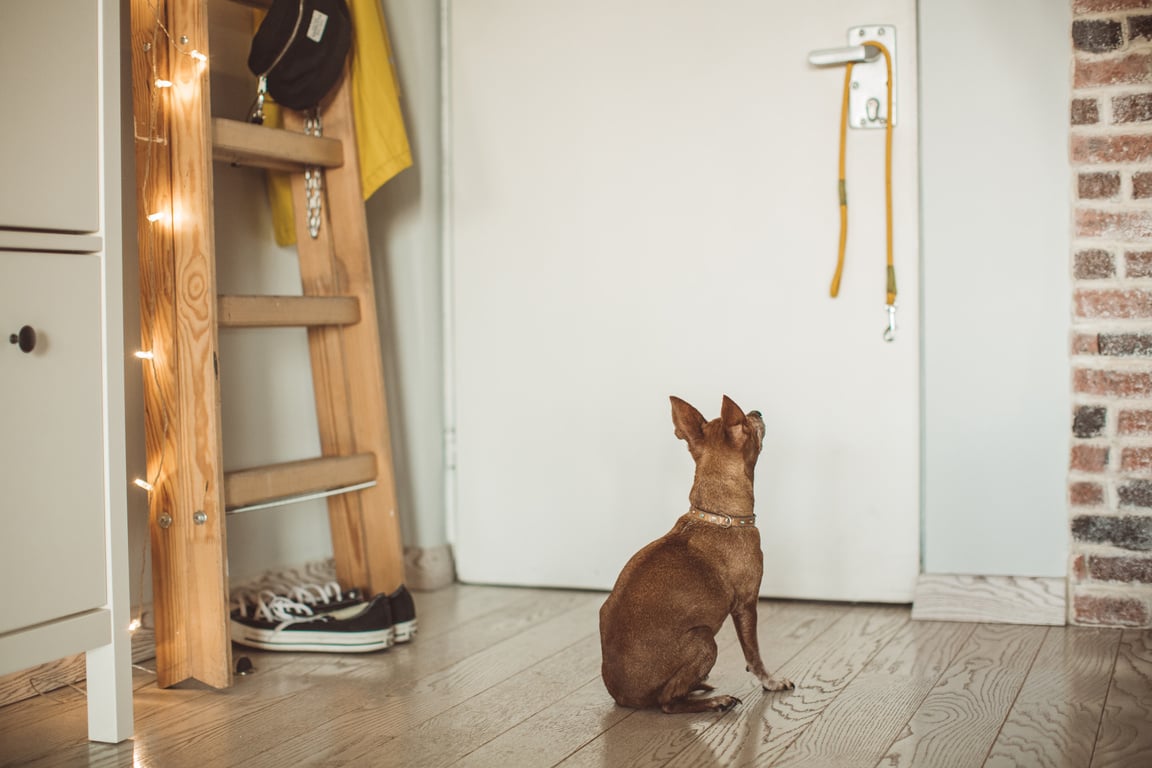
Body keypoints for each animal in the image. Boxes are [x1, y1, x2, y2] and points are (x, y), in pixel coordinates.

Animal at [603, 396, 792, 713]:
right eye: (747, 423)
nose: (757, 411)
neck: (719, 516)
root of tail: (623, 696)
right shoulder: (746, 604)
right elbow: (753, 654)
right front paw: (771, 682)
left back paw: (701, 686)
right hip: (705, 640)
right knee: (668, 701)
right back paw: (715, 700)